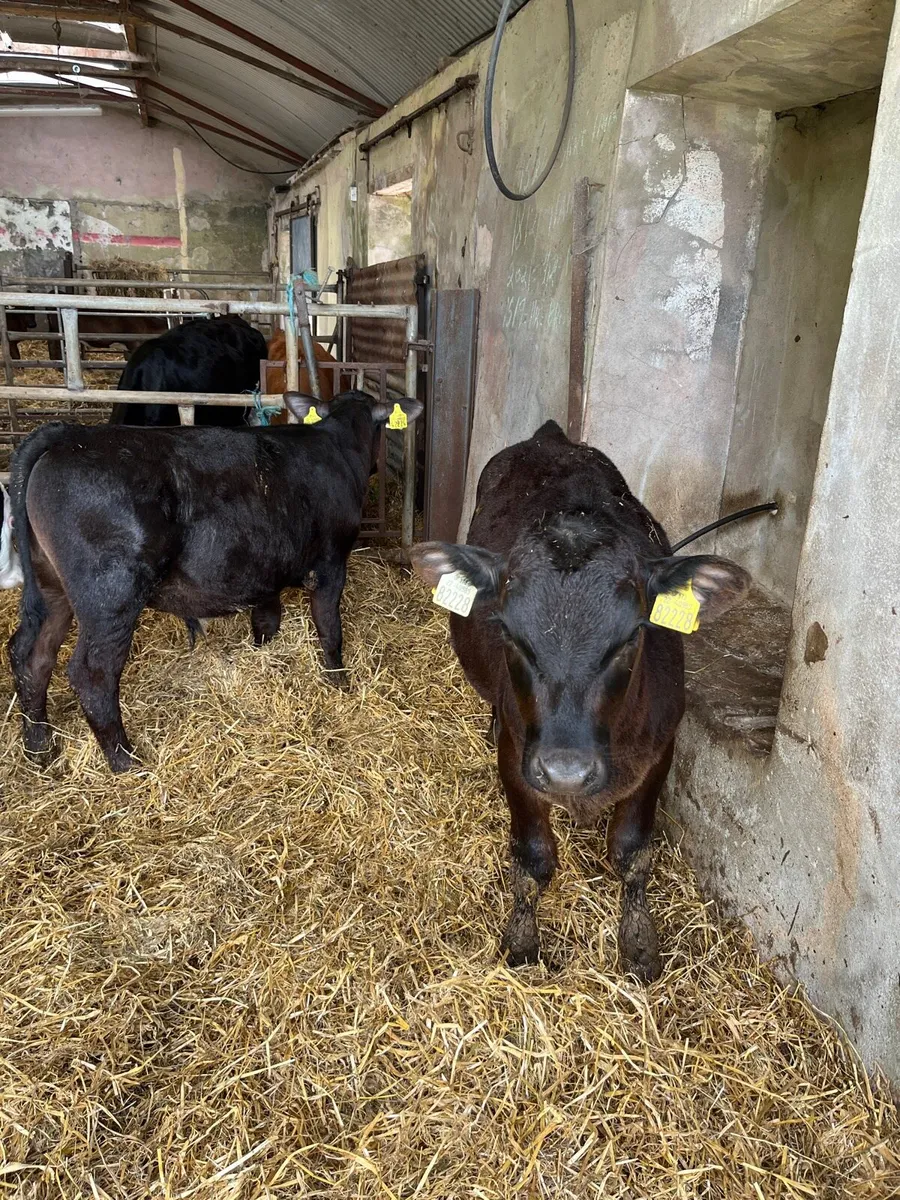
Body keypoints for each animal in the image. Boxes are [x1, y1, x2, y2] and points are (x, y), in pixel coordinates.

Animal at [8, 389, 423, 773]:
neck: (337, 446)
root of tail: (70, 434)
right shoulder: (332, 562)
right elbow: (329, 628)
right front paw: (340, 683)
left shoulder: (264, 569)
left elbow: (266, 619)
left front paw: (263, 654)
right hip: (110, 595)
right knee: (92, 673)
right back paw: (126, 761)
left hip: (51, 586)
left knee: (30, 654)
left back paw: (39, 747)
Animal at [410, 420, 750, 982]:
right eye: (509, 633)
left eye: (633, 637)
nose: (566, 772)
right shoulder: (518, 761)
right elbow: (533, 858)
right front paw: (522, 944)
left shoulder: (661, 752)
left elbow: (632, 851)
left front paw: (639, 944)